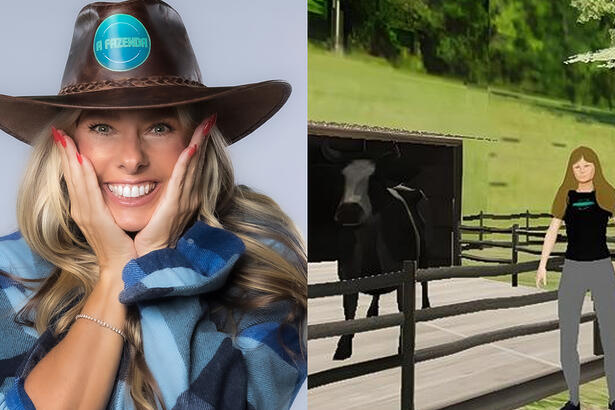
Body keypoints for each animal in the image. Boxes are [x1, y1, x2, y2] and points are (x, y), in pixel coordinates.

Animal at [322, 141, 434, 358]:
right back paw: (372, 311)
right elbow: (349, 308)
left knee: (424, 280)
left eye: (374, 180)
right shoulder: (347, 273)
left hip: (424, 252)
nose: (349, 210)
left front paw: (402, 346)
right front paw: (343, 347)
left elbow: (402, 308)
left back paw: (426, 306)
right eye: (342, 178)